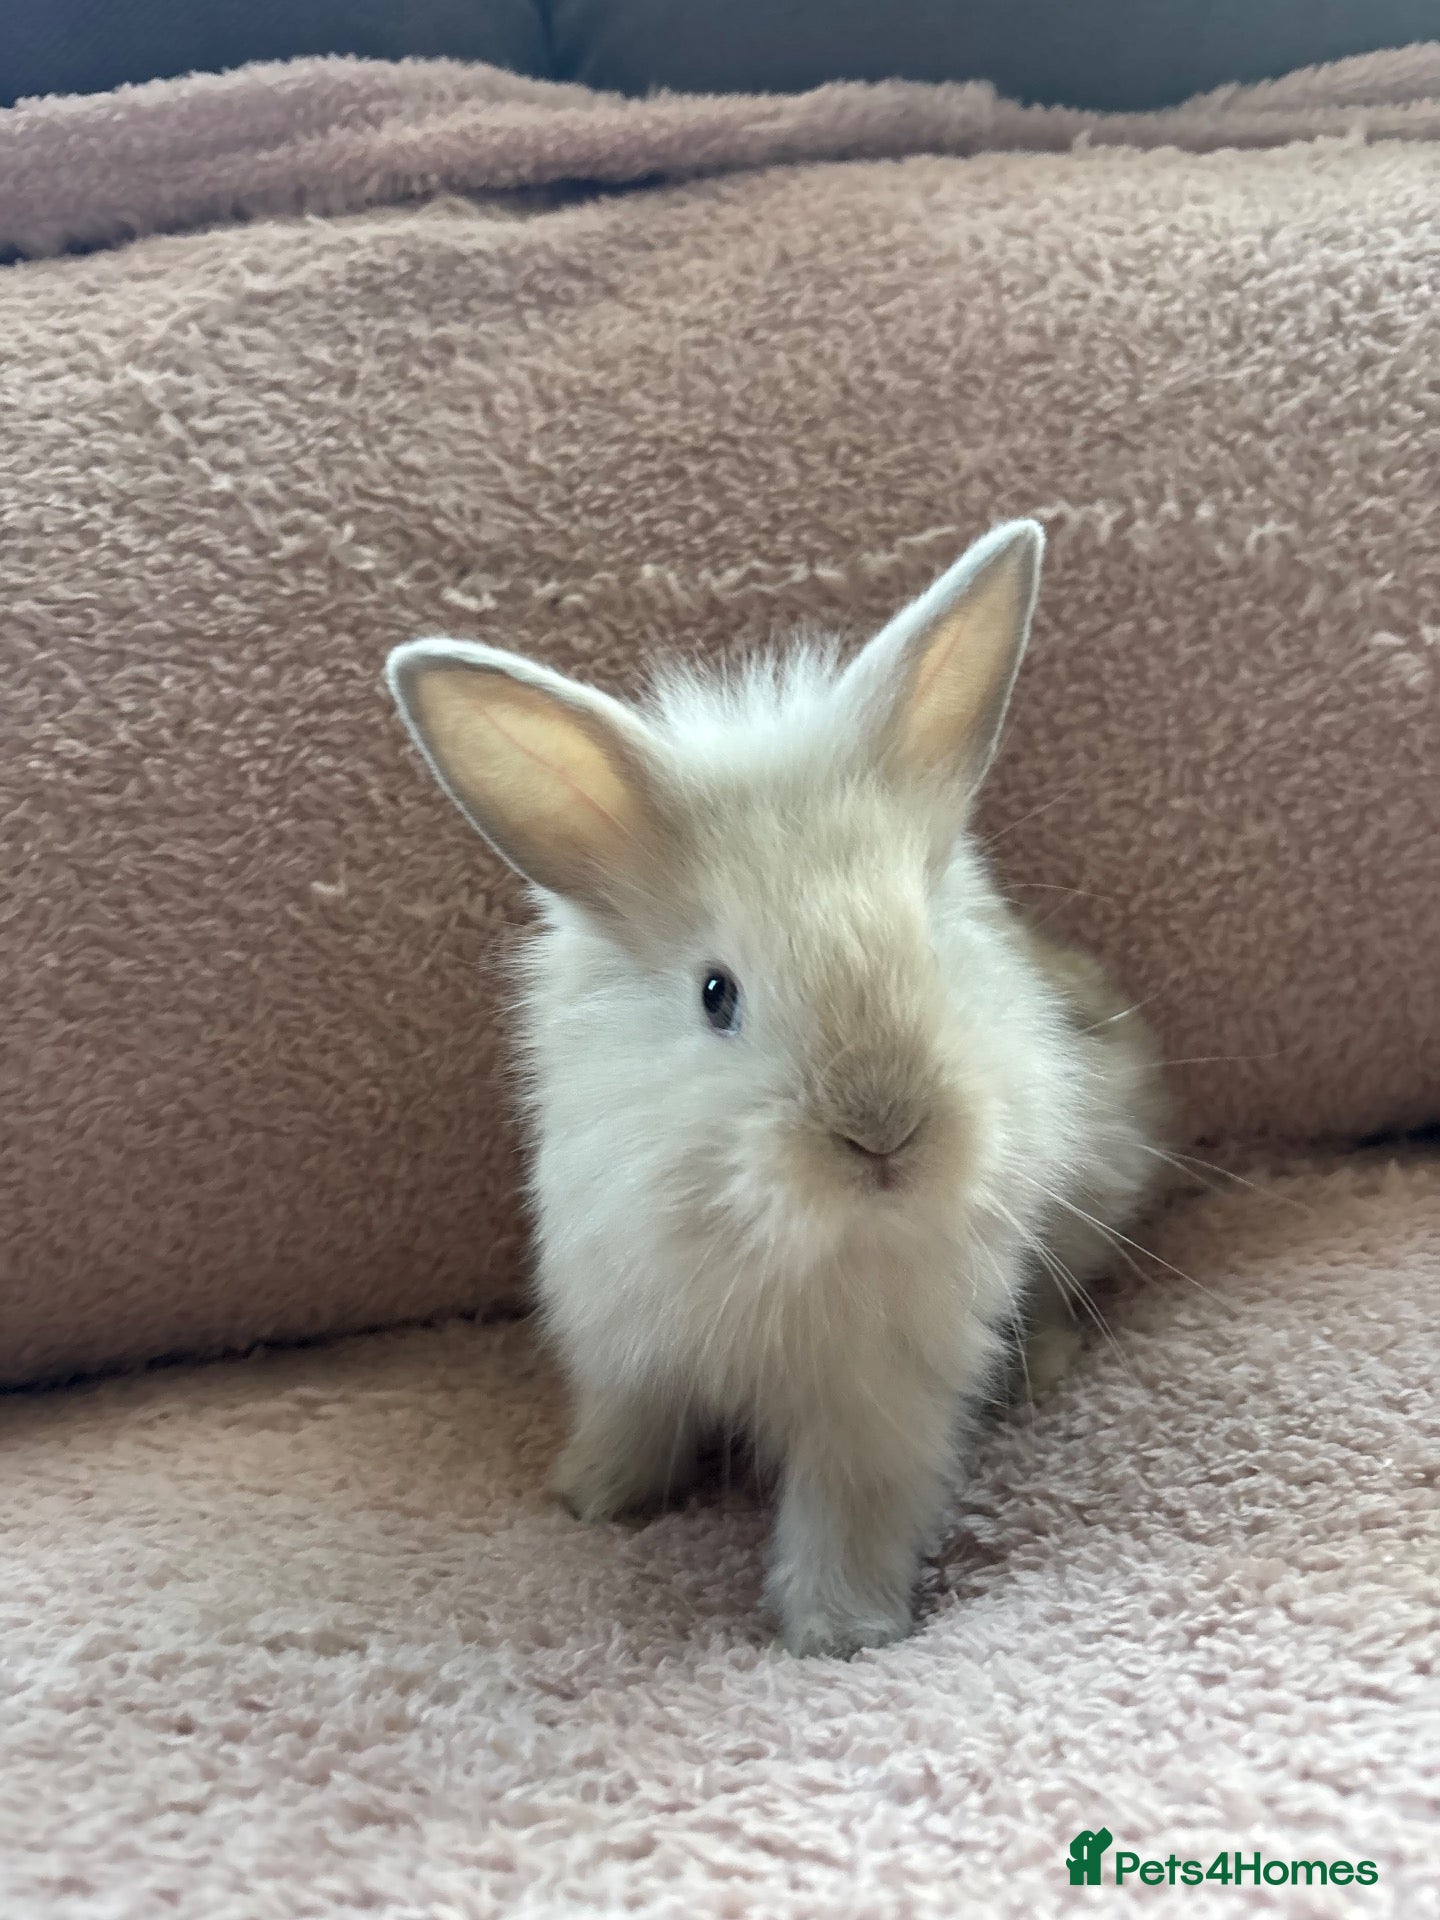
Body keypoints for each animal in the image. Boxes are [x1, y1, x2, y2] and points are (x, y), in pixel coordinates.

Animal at [386, 519, 1167, 1657]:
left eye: (933, 955)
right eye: (718, 996)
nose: (885, 1134)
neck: (777, 1235)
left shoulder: (877, 1399)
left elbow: (851, 1508)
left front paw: (839, 1631)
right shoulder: (625, 1339)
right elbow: (632, 1424)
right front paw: (592, 1497)